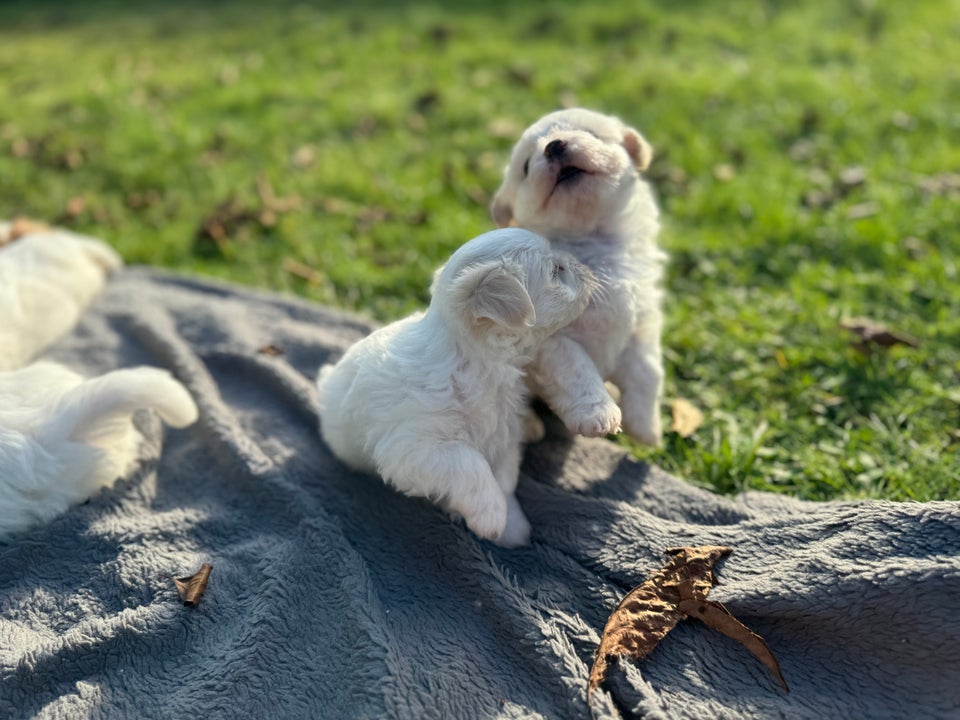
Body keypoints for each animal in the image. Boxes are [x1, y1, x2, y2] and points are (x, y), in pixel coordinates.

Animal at [318, 228, 596, 548]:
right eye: (556, 270)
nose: (587, 269)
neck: (474, 362)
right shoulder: (414, 447)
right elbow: (469, 462)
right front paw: (490, 517)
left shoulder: (504, 436)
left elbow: (504, 478)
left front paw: (512, 527)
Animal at [492, 107, 664, 444]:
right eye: (527, 166)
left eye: (591, 134)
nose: (554, 146)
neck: (592, 239)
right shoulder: (552, 340)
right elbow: (577, 370)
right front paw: (599, 415)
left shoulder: (642, 323)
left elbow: (647, 372)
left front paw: (645, 427)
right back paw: (528, 426)